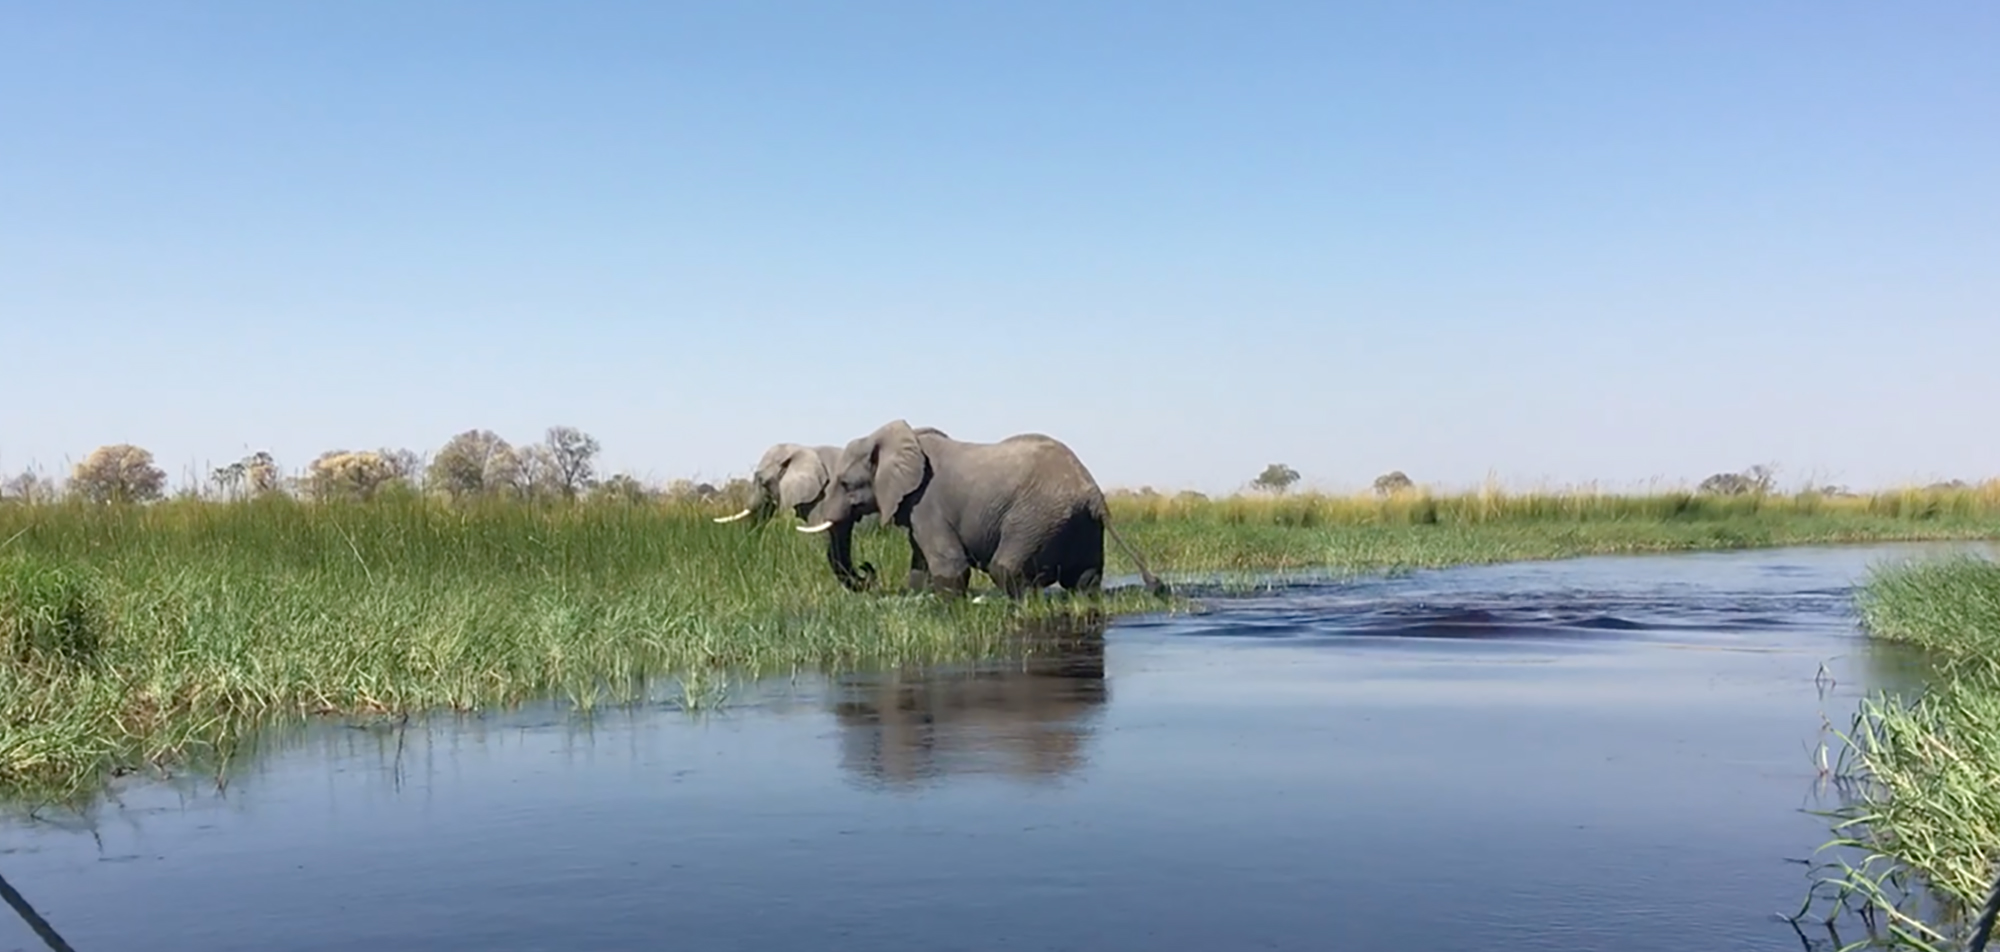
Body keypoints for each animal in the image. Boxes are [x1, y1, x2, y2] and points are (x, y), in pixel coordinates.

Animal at [796, 420, 1168, 600]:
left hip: (1037, 515)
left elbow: (950, 567)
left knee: (1004, 569)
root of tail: (1094, 493)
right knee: (1084, 579)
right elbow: (920, 566)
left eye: (846, 484)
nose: (866, 570)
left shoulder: (926, 501)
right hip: (1081, 524)